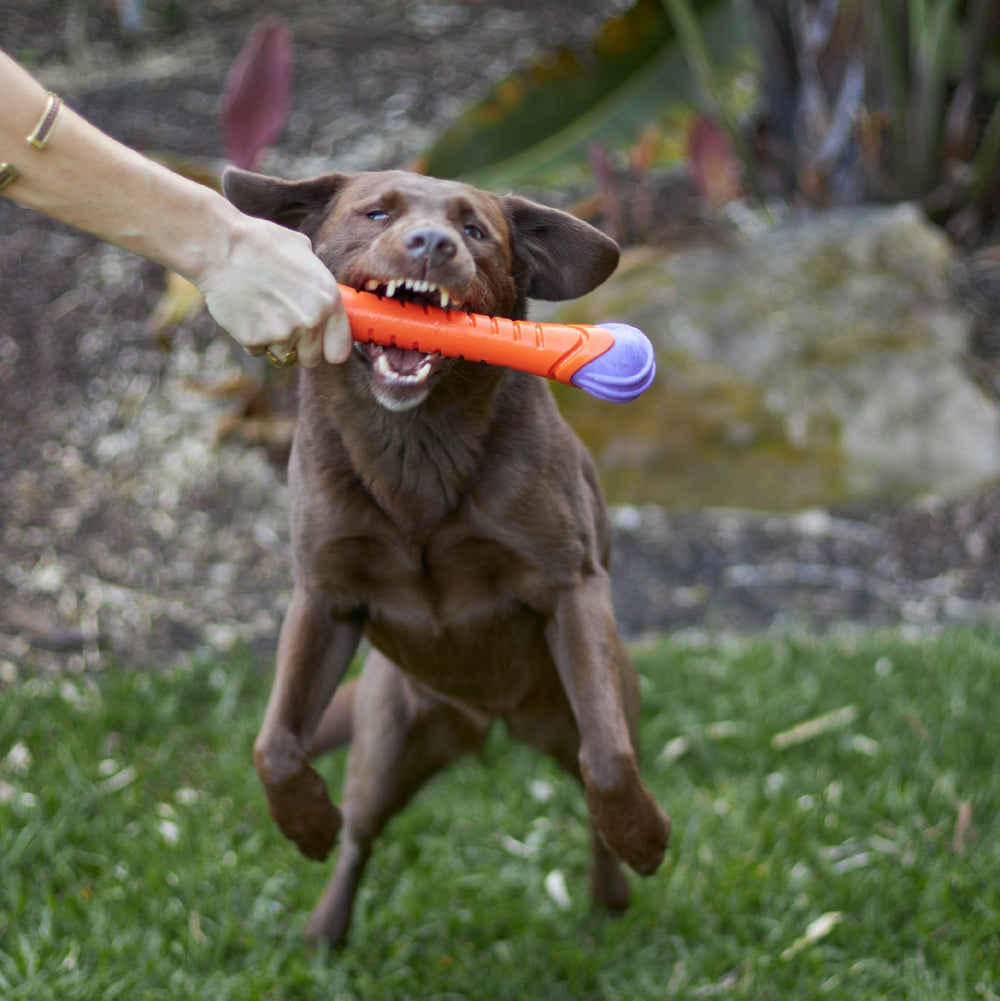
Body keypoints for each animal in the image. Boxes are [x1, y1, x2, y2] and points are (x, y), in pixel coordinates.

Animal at [223, 164, 668, 944]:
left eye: (475, 230)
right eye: (376, 213)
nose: (431, 244)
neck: (415, 453)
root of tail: (487, 721)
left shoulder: (571, 585)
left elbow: (609, 761)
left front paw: (643, 836)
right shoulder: (322, 597)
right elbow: (274, 743)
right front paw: (305, 823)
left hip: (589, 702)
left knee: (594, 781)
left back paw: (610, 890)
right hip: (388, 741)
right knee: (360, 833)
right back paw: (326, 927)